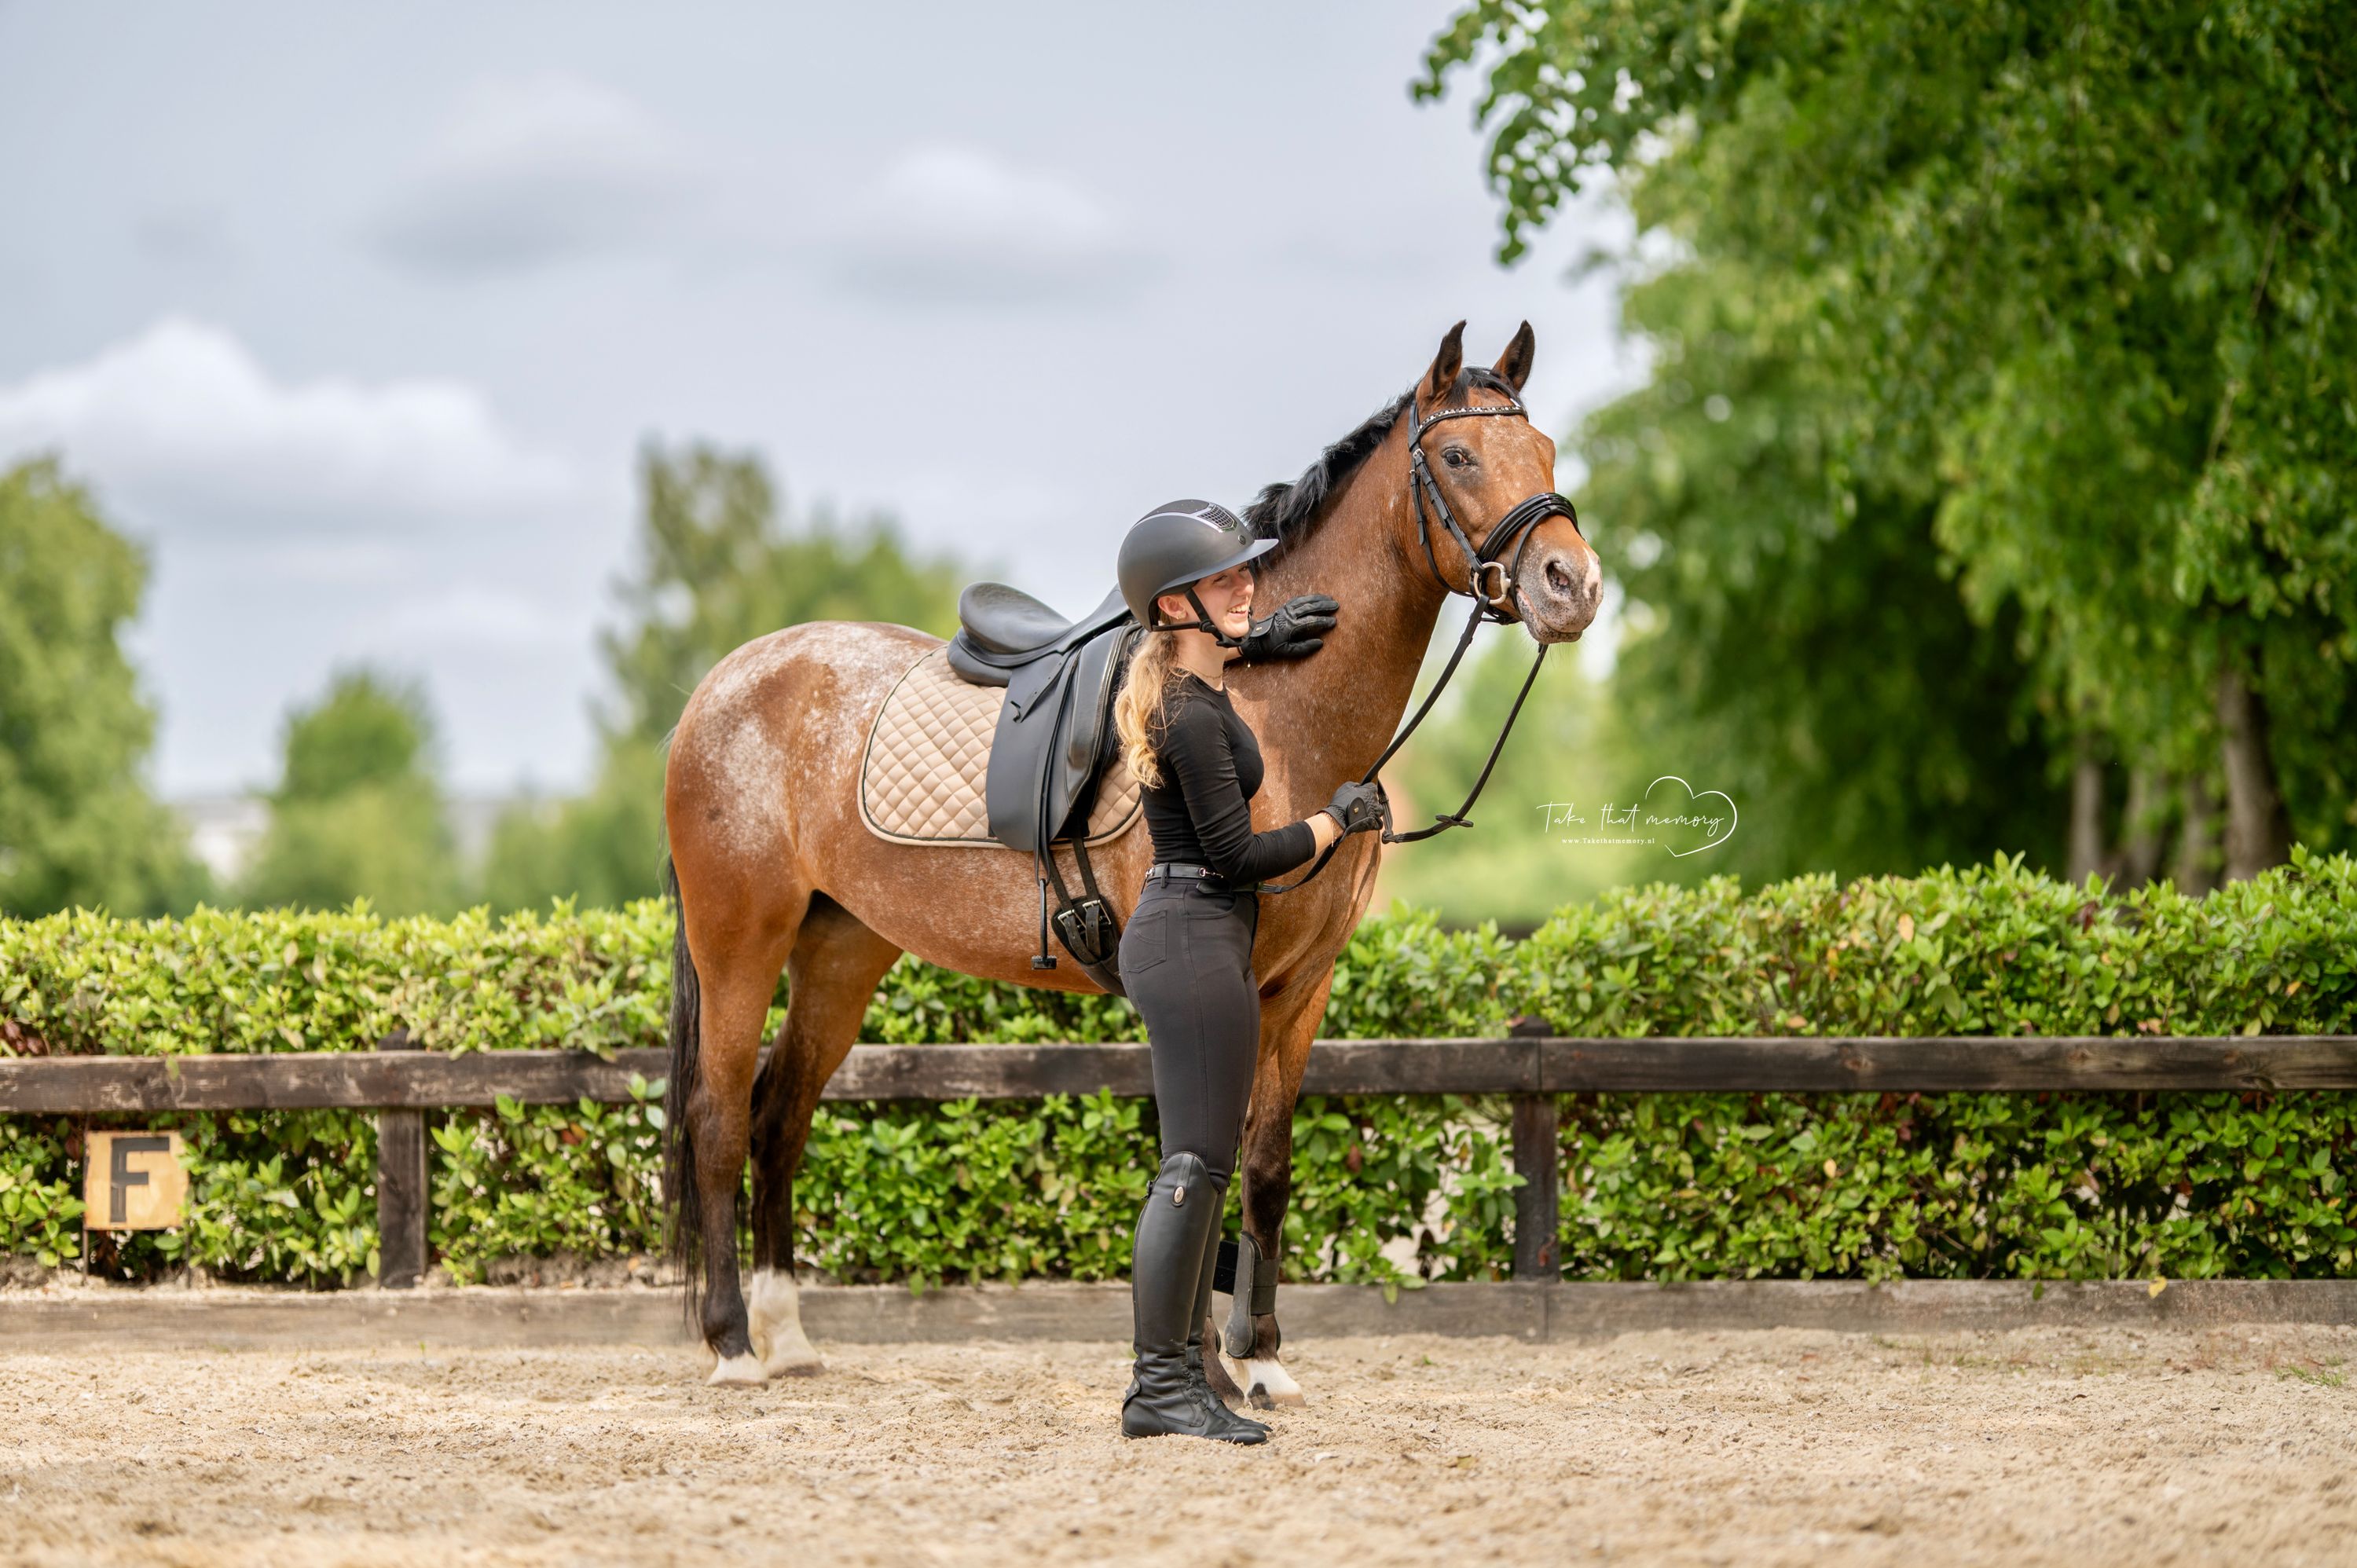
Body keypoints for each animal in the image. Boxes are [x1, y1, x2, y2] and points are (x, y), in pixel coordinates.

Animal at [660, 321, 1602, 1391]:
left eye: (1547, 451)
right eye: (1457, 456)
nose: (1572, 584)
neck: (1274, 708)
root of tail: (722, 686)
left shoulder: (1303, 988)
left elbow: (1265, 1166)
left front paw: (1260, 1361)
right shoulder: (1219, 978)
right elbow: (1202, 1159)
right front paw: (1208, 1367)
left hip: (842, 948)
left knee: (780, 1117)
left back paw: (788, 1338)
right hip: (740, 942)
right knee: (718, 1119)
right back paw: (735, 1345)